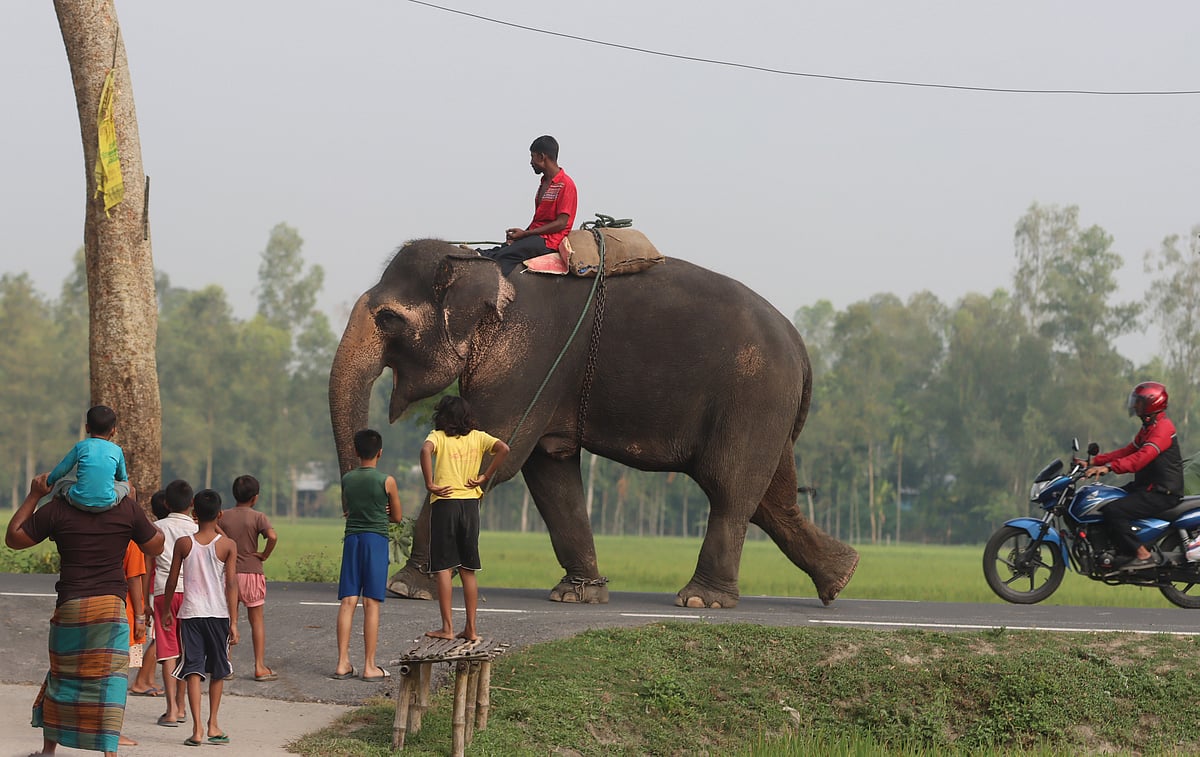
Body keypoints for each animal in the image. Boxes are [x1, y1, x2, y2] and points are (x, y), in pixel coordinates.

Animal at [328, 239, 858, 608]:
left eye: (390, 319)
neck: (484, 264)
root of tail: (801, 348)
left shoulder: (527, 358)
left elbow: (497, 455)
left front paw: (404, 588)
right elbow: (549, 469)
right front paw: (577, 594)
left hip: (753, 399)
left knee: (730, 490)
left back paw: (700, 600)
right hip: (770, 411)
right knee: (773, 500)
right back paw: (841, 576)